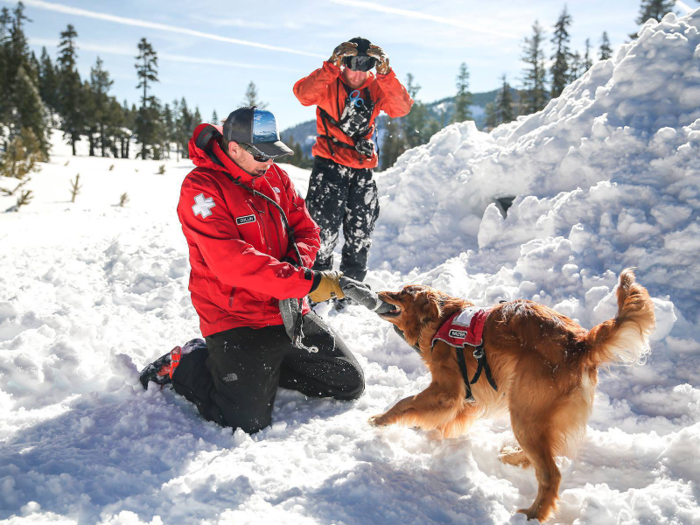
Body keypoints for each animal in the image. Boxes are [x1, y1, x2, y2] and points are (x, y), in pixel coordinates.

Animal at [372, 270, 656, 520]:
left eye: (403, 292)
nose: (377, 291)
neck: (441, 319)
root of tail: (579, 343)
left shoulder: (447, 390)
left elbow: (407, 402)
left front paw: (381, 420)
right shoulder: (468, 396)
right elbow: (445, 417)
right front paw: (431, 431)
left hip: (523, 409)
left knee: (550, 474)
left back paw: (532, 514)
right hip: (531, 413)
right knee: (543, 453)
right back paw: (513, 457)